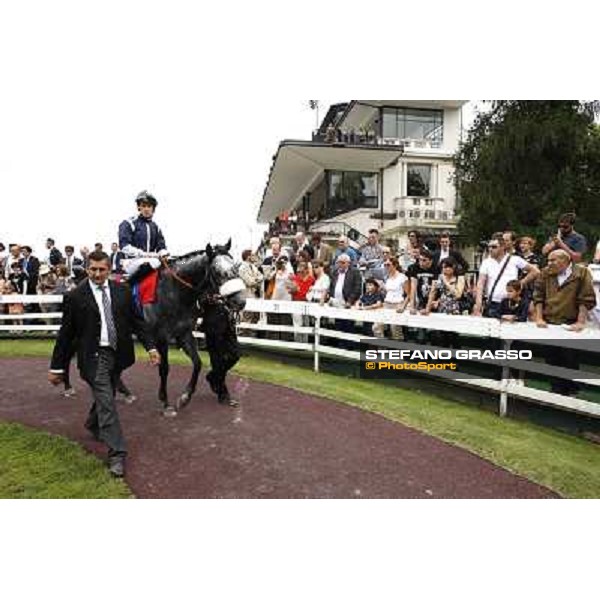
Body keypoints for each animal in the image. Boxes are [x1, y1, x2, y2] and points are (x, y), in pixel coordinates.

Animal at [143, 240, 246, 418]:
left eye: (235, 267)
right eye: (217, 271)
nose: (240, 301)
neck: (171, 292)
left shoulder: (184, 333)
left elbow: (198, 363)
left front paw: (186, 397)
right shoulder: (162, 337)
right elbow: (164, 368)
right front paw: (165, 402)